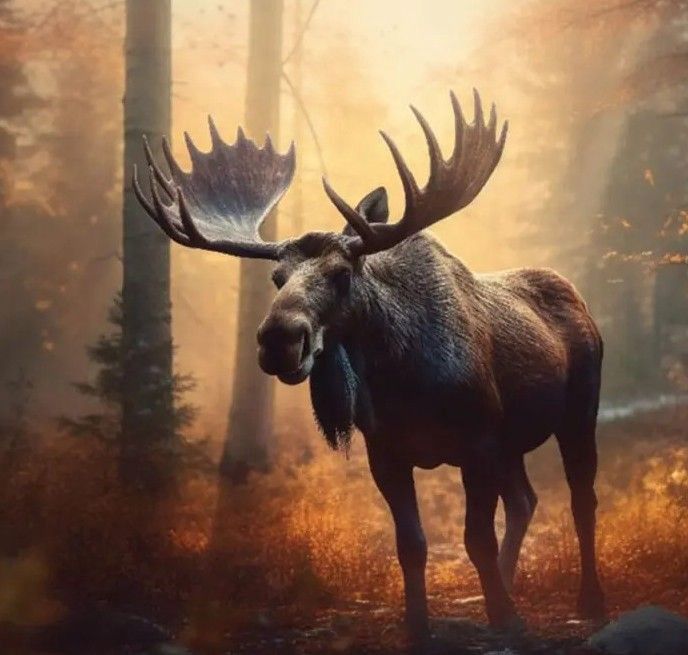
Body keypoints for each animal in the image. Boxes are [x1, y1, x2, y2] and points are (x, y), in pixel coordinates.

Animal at [133, 90, 605, 642]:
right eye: (277, 277)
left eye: (342, 273)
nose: (278, 340)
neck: (402, 381)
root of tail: (581, 302)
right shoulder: (388, 453)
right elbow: (412, 545)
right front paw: (421, 628)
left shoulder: (478, 442)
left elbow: (476, 541)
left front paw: (508, 621)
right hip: (513, 443)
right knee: (525, 500)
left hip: (578, 414)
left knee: (581, 500)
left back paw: (590, 601)